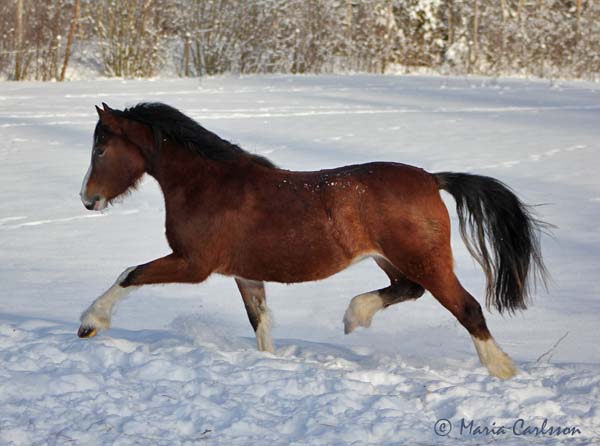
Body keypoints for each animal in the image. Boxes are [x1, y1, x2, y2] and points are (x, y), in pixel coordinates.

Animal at [77, 103, 548, 378]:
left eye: (100, 149)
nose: (87, 199)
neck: (207, 185)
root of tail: (433, 179)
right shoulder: (244, 274)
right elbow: (260, 322)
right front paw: (270, 362)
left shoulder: (193, 264)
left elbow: (129, 273)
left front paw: (90, 323)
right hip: (394, 259)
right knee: (406, 289)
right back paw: (354, 315)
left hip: (425, 260)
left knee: (467, 308)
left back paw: (502, 370)